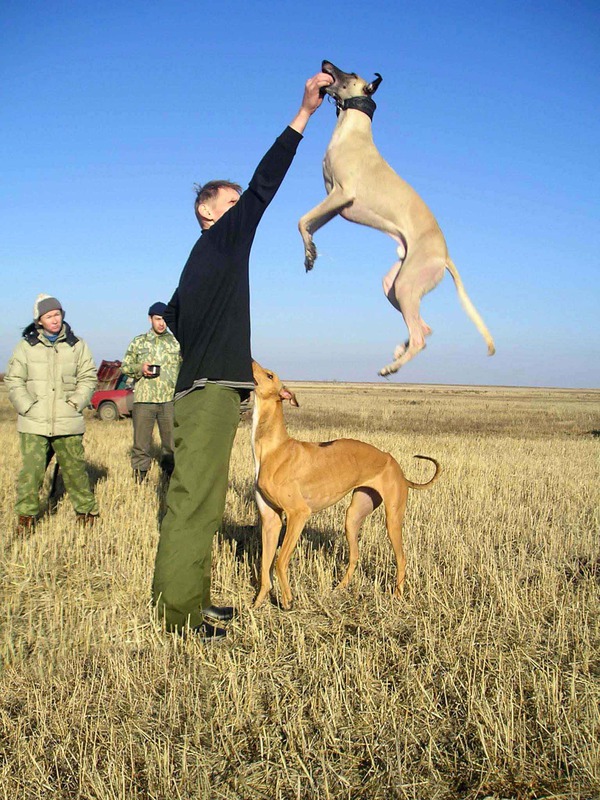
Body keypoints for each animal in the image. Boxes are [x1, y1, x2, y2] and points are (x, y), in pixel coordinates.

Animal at [250, 360, 440, 608]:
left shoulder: (298, 514)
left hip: (393, 519)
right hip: (354, 515)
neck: (274, 448)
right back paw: (340, 588)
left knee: (401, 558)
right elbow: (265, 567)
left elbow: (280, 561)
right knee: (355, 555)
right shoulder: (270, 519)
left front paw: (288, 599)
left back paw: (397, 595)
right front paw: (256, 605)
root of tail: (393, 463)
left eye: (270, 375)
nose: (250, 360)